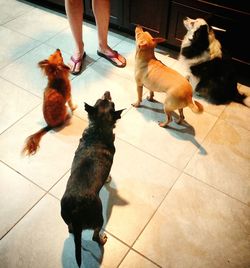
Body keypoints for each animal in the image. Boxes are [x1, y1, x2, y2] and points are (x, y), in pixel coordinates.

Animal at [60, 91, 123, 266]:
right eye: (112, 103)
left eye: (100, 100)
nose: (107, 92)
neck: (98, 129)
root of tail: (76, 211)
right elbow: (108, 176)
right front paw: (108, 179)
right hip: (99, 219)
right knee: (95, 236)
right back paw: (102, 239)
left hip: (67, 219)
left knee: (70, 230)